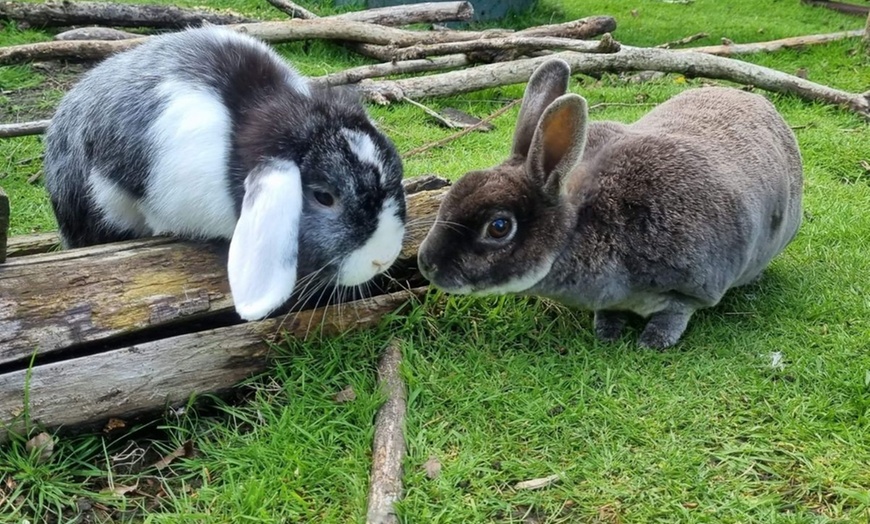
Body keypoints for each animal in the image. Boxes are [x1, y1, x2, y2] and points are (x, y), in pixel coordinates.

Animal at [418, 58, 808, 348]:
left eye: (498, 227)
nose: (427, 265)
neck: (582, 225)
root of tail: (768, 109)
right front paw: (607, 330)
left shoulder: (695, 286)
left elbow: (676, 313)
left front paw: (653, 342)